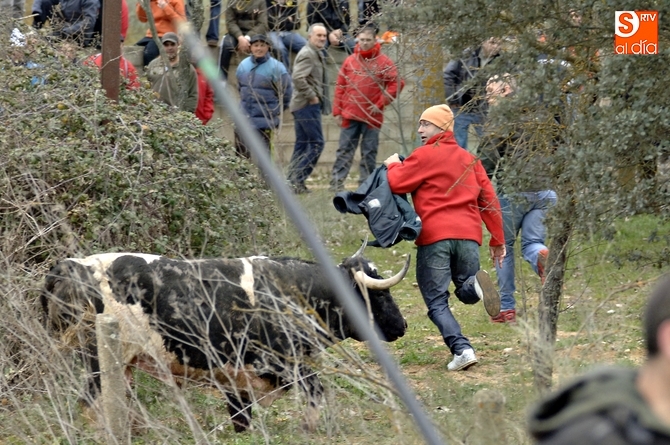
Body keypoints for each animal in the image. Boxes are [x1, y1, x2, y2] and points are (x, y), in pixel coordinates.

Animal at [41, 239, 409, 432]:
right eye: (377, 295)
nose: (401, 326)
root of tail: (71, 265)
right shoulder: (281, 363)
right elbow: (315, 391)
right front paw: (310, 429)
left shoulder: (236, 374)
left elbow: (240, 416)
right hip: (100, 364)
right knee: (91, 403)